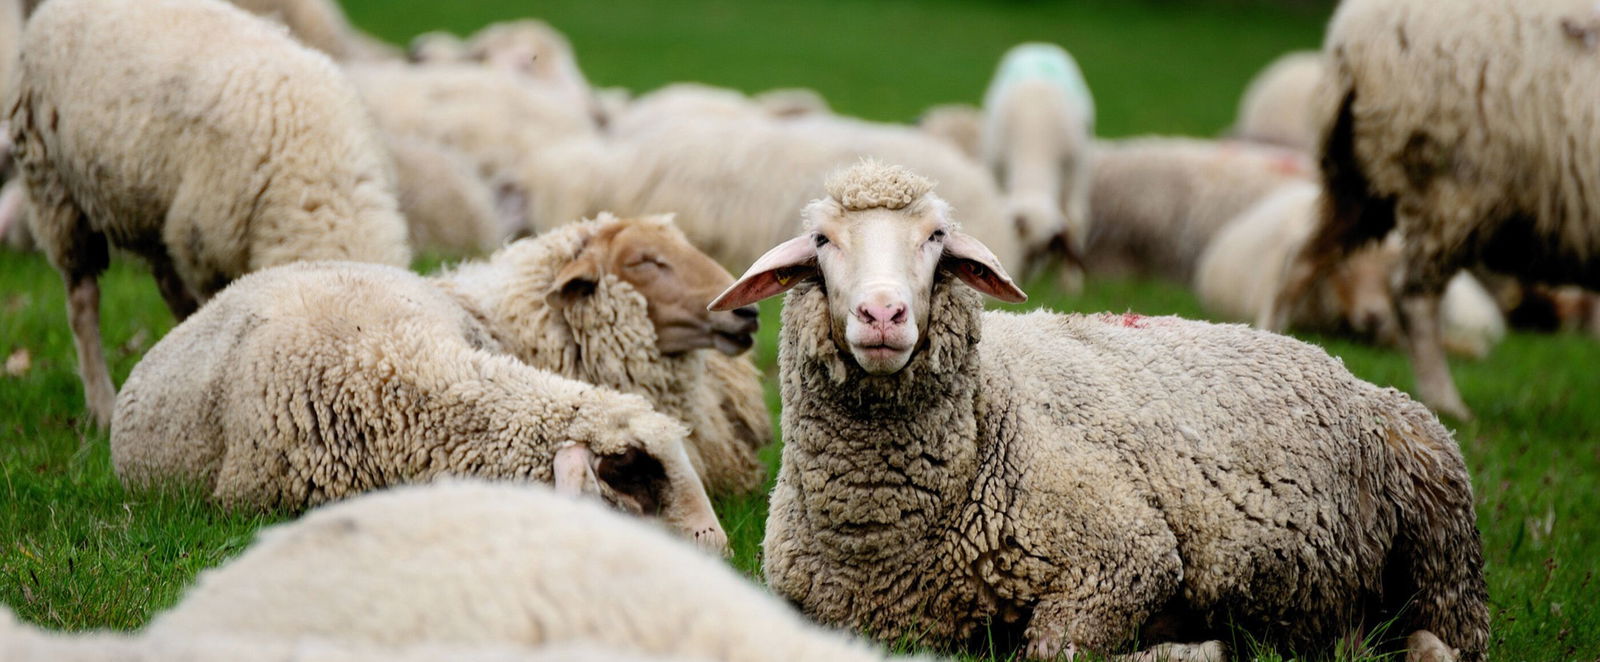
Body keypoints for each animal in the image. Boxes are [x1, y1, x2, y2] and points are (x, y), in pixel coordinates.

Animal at [10, 0, 412, 426]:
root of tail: (49, 9)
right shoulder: (206, 250)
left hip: (151, 208)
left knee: (165, 283)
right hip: (53, 187)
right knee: (83, 300)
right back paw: (102, 405)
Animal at [981, 42, 1096, 289]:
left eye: (1042, 251)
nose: (1019, 281)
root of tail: (1038, 45)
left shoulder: (1077, 168)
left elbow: (1075, 220)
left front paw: (1071, 282)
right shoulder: (995, 165)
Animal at [1261, 0, 1600, 420]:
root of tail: (1351, 34)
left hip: (1355, 185)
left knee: (1300, 262)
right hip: (1450, 186)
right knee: (1413, 296)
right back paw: (1447, 402)